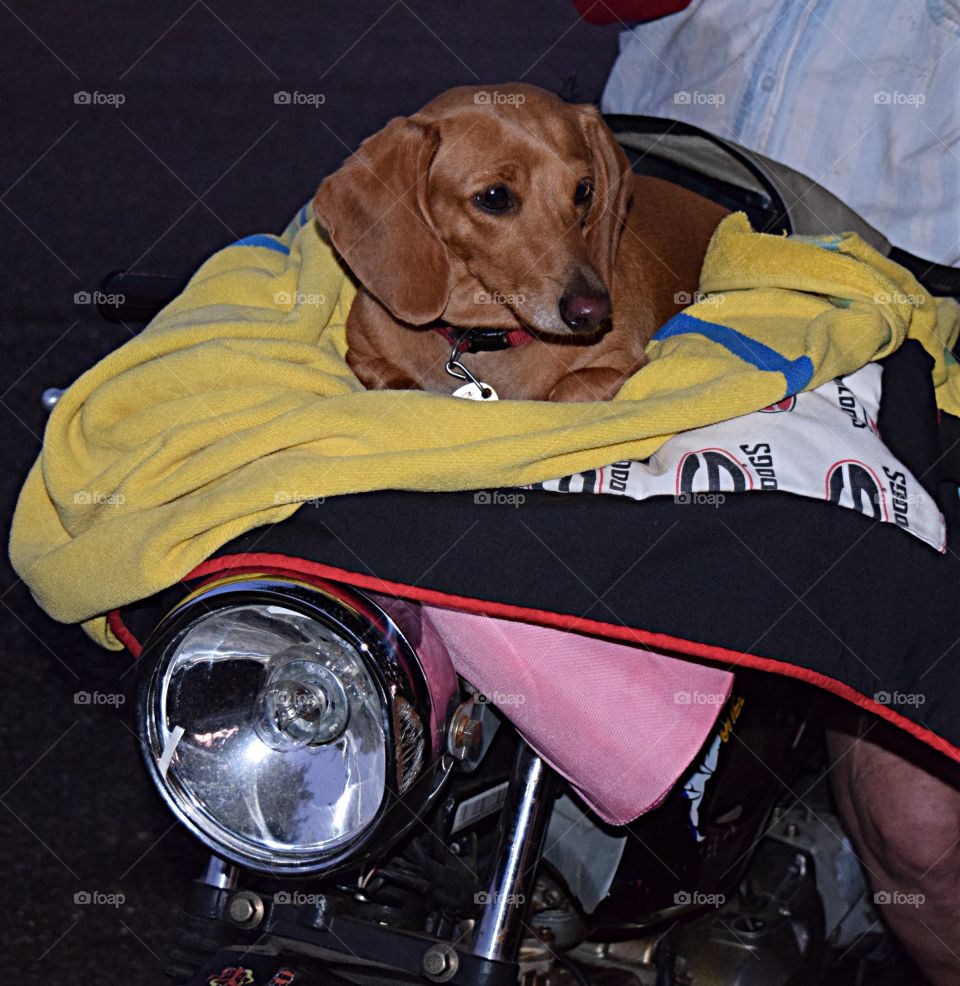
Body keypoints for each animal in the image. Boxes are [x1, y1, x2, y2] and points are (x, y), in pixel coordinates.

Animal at [316, 83, 728, 400]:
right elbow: (395, 380)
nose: (592, 313)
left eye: (584, 189)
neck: (477, 338)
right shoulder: (363, 355)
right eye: (495, 196)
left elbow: (565, 390)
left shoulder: (623, 363)